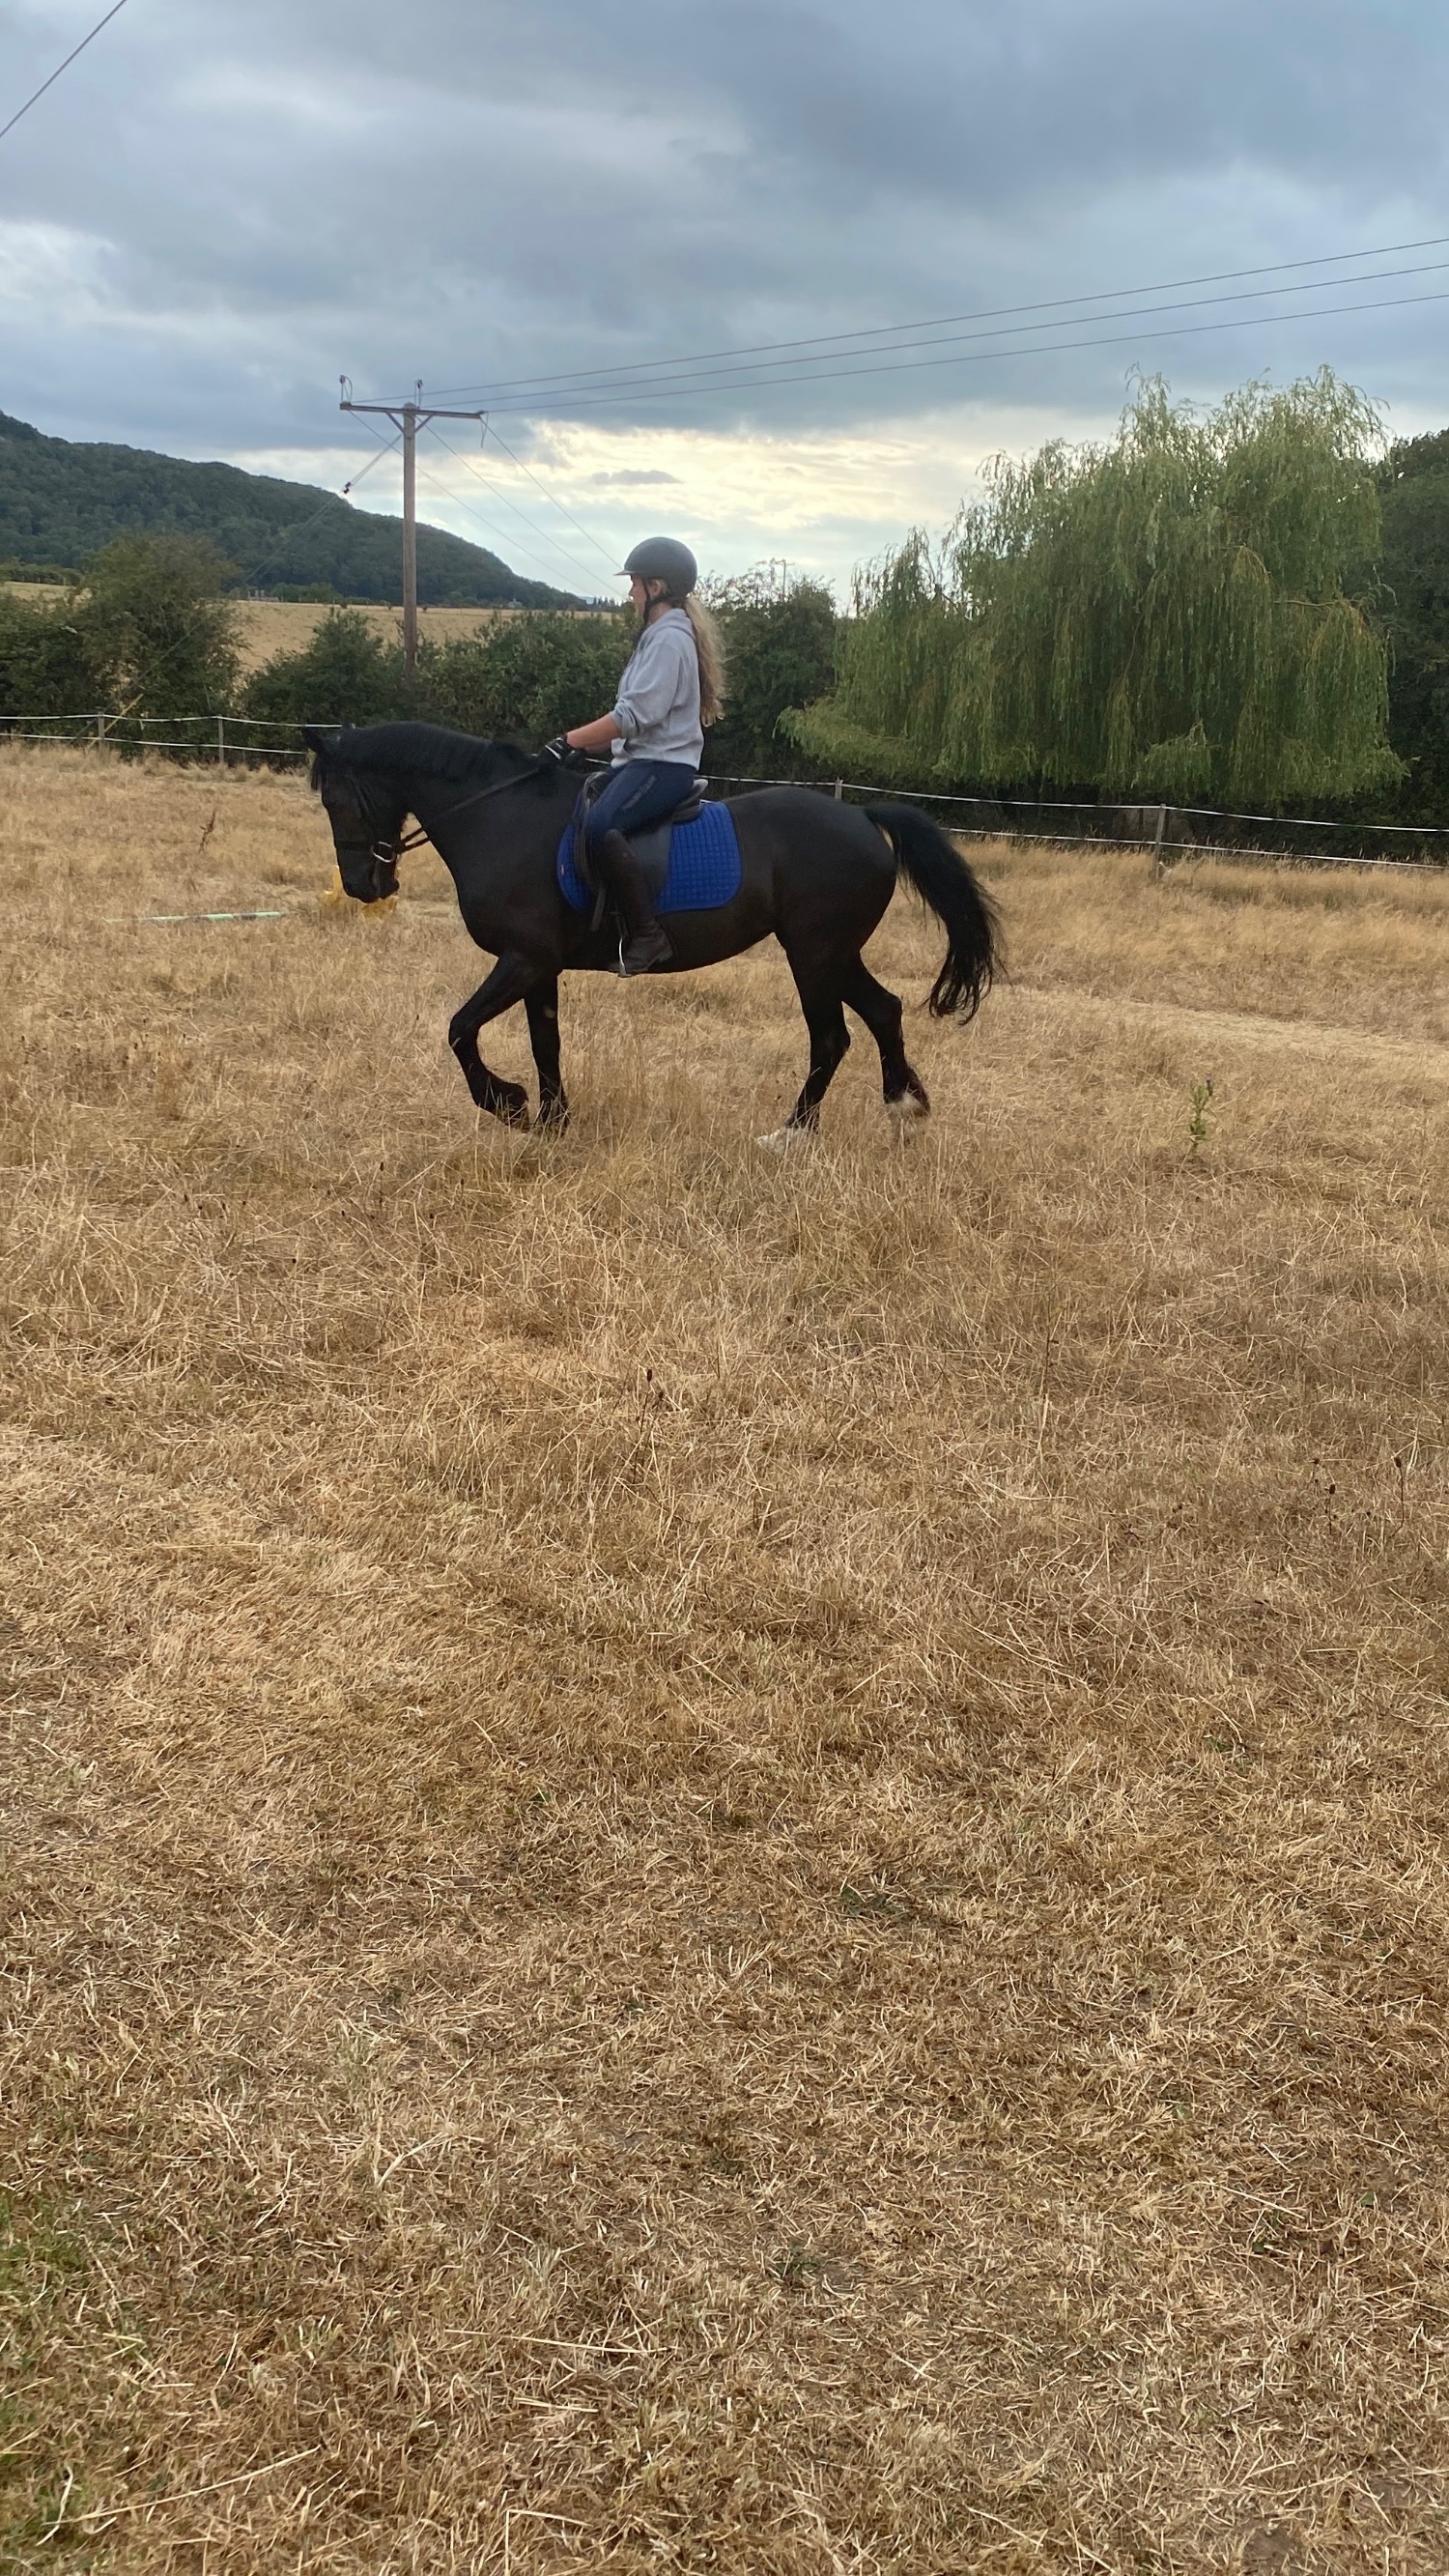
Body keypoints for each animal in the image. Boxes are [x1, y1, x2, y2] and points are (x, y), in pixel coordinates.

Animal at [303, 722, 999, 1141]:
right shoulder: (537, 966)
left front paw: (509, 1104)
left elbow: (459, 1029)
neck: (500, 815)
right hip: (832, 953)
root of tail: (862, 817)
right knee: (883, 1011)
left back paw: (792, 1133)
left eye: (334, 800)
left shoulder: (521, 960)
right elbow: (544, 1043)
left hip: (815, 953)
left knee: (833, 1037)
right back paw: (905, 1107)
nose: (364, 886)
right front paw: (553, 1121)